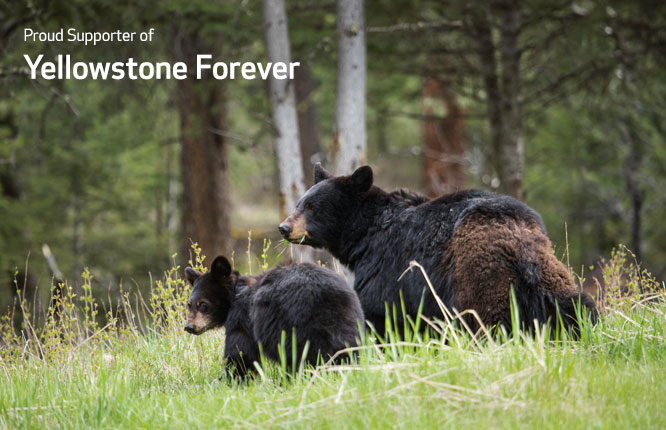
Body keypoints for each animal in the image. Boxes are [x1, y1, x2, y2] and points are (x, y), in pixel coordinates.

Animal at [184, 256, 364, 378]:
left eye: (203, 304)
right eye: (189, 304)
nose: (189, 327)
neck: (235, 294)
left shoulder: (242, 317)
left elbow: (241, 352)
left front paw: (232, 379)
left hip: (294, 325)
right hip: (349, 323)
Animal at [278, 163, 598, 336]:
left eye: (313, 207)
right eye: (300, 203)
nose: (284, 227)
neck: (365, 234)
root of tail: (519, 241)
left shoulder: (387, 266)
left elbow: (379, 311)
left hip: (478, 274)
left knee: (485, 318)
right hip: (548, 273)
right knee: (574, 304)